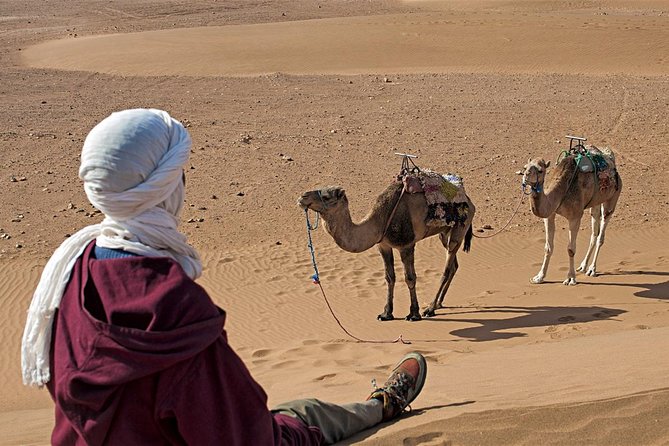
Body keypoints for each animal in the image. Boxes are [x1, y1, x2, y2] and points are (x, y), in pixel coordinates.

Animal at [298, 177, 475, 321]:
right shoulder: (383, 245)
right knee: (454, 265)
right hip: (444, 232)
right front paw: (386, 313)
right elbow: (389, 277)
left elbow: (410, 278)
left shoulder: (406, 245)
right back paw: (438, 304)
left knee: (447, 267)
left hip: (461, 226)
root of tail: (469, 200)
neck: (380, 221)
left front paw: (414, 314)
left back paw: (430, 309)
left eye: (326, 196)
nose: (302, 197)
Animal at [521, 144, 622, 285]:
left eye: (540, 170)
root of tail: (611, 161)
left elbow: (570, 249)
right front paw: (539, 277)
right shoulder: (549, 215)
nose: (525, 176)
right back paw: (583, 266)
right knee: (594, 231)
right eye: (525, 167)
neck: (560, 191)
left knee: (601, 234)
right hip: (595, 203)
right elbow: (548, 247)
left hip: (613, 198)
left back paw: (592, 269)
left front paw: (570, 278)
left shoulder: (575, 217)